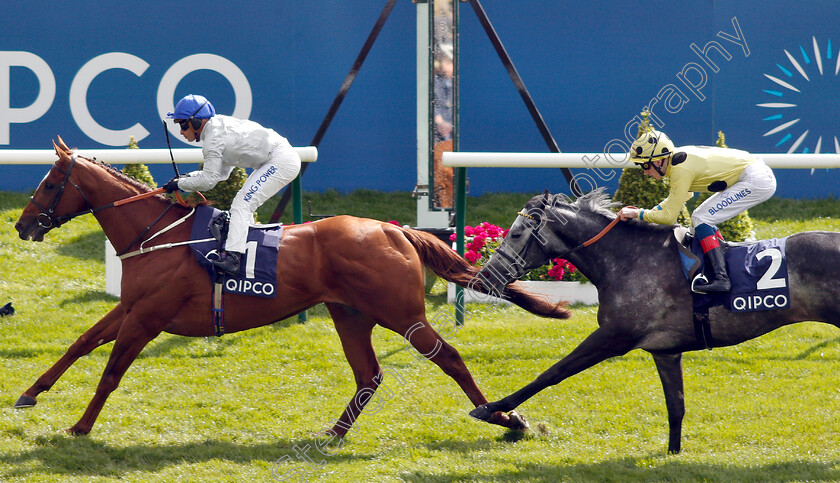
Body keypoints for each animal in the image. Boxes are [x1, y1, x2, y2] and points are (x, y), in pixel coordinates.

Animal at [13, 139, 568, 438]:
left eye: (49, 184)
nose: (21, 225)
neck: (157, 234)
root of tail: (396, 230)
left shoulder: (148, 318)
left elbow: (110, 372)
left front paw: (80, 427)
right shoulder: (131, 307)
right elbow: (81, 343)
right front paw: (29, 394)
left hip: (401, 313)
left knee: (448, 357)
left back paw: (506, 418)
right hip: (350, 314)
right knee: (368, 374)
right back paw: (334, 434)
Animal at [466, 189, 840, 454]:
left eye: (516, 234)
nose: (484, 278)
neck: (629, 260)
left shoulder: (614, 336)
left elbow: (554, 372)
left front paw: (493, 409)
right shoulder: (666, 351)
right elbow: (676, 406)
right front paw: (673, 452)